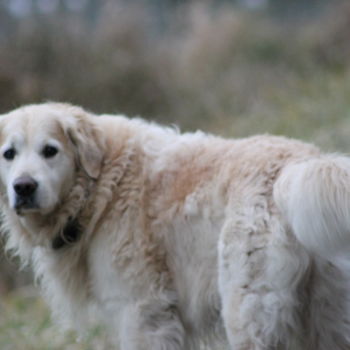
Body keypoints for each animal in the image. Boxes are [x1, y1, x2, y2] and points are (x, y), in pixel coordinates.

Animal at [0, 102, 350, 348]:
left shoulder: (142, 311)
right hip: (327, 318)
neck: (101, 187)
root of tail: (296, 165)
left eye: (50, 151)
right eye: (9, 154)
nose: (24, 187)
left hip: (246, 315)